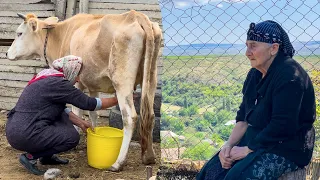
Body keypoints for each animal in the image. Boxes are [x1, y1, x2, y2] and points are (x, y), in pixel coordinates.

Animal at [6, 10, 162, 172]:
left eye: (19, 33)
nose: (6, 53)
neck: (60, 36)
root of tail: (136, 15)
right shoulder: (93, 86)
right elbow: (93, 111)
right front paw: (92, 134)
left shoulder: (76, 83)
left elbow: (77, 110)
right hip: (151, 79)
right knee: (150, 115)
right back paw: (149, 157)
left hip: (122, 81)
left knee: (130, 117)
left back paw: (117, 163)